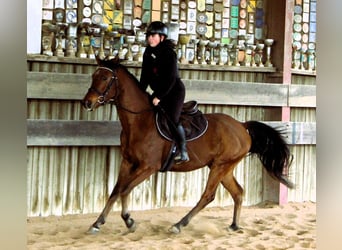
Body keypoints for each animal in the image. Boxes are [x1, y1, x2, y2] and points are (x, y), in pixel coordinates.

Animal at [81, 56, 292, 234]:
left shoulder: (148, 167)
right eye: (93, 76)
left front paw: (129, 220)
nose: (87, 103)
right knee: (238, 192)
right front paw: (97, 223)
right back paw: (234, 225)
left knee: (208, 195)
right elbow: (115, 191)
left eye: (105, 78)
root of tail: (241, 125)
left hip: (220, 166)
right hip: (224, 168)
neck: (139, 122)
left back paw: (179, 225)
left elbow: (125, 190)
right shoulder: (127, 163)